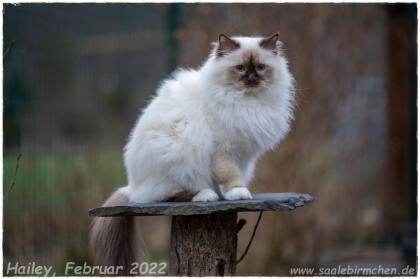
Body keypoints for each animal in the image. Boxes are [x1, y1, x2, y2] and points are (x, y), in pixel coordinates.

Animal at [90, 33, 296, 274]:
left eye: (261, 67)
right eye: (240, 68)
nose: (252, 78)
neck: (246, 101)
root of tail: (131, 185)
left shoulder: (244, 155)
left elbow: (235, 175)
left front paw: (234, 192)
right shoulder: (221, 149)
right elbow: (229, 175)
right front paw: (237, 193)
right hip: (176, 158)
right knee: (166, 195)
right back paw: (205, 195)